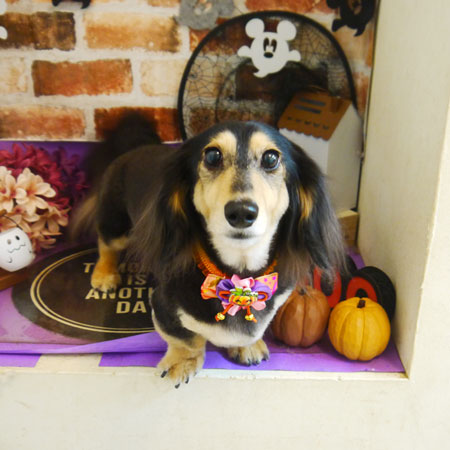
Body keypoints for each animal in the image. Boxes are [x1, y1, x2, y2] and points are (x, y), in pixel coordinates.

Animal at [74, 115, 346, 386]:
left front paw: (248, 345)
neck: (238, 272)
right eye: (212, 156)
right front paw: (183, 361)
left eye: (271, 158)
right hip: (116, 225)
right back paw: (104, 275)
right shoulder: (163, 304)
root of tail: (135, 149)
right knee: (106, 245)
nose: (241, 212)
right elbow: (185, 337)